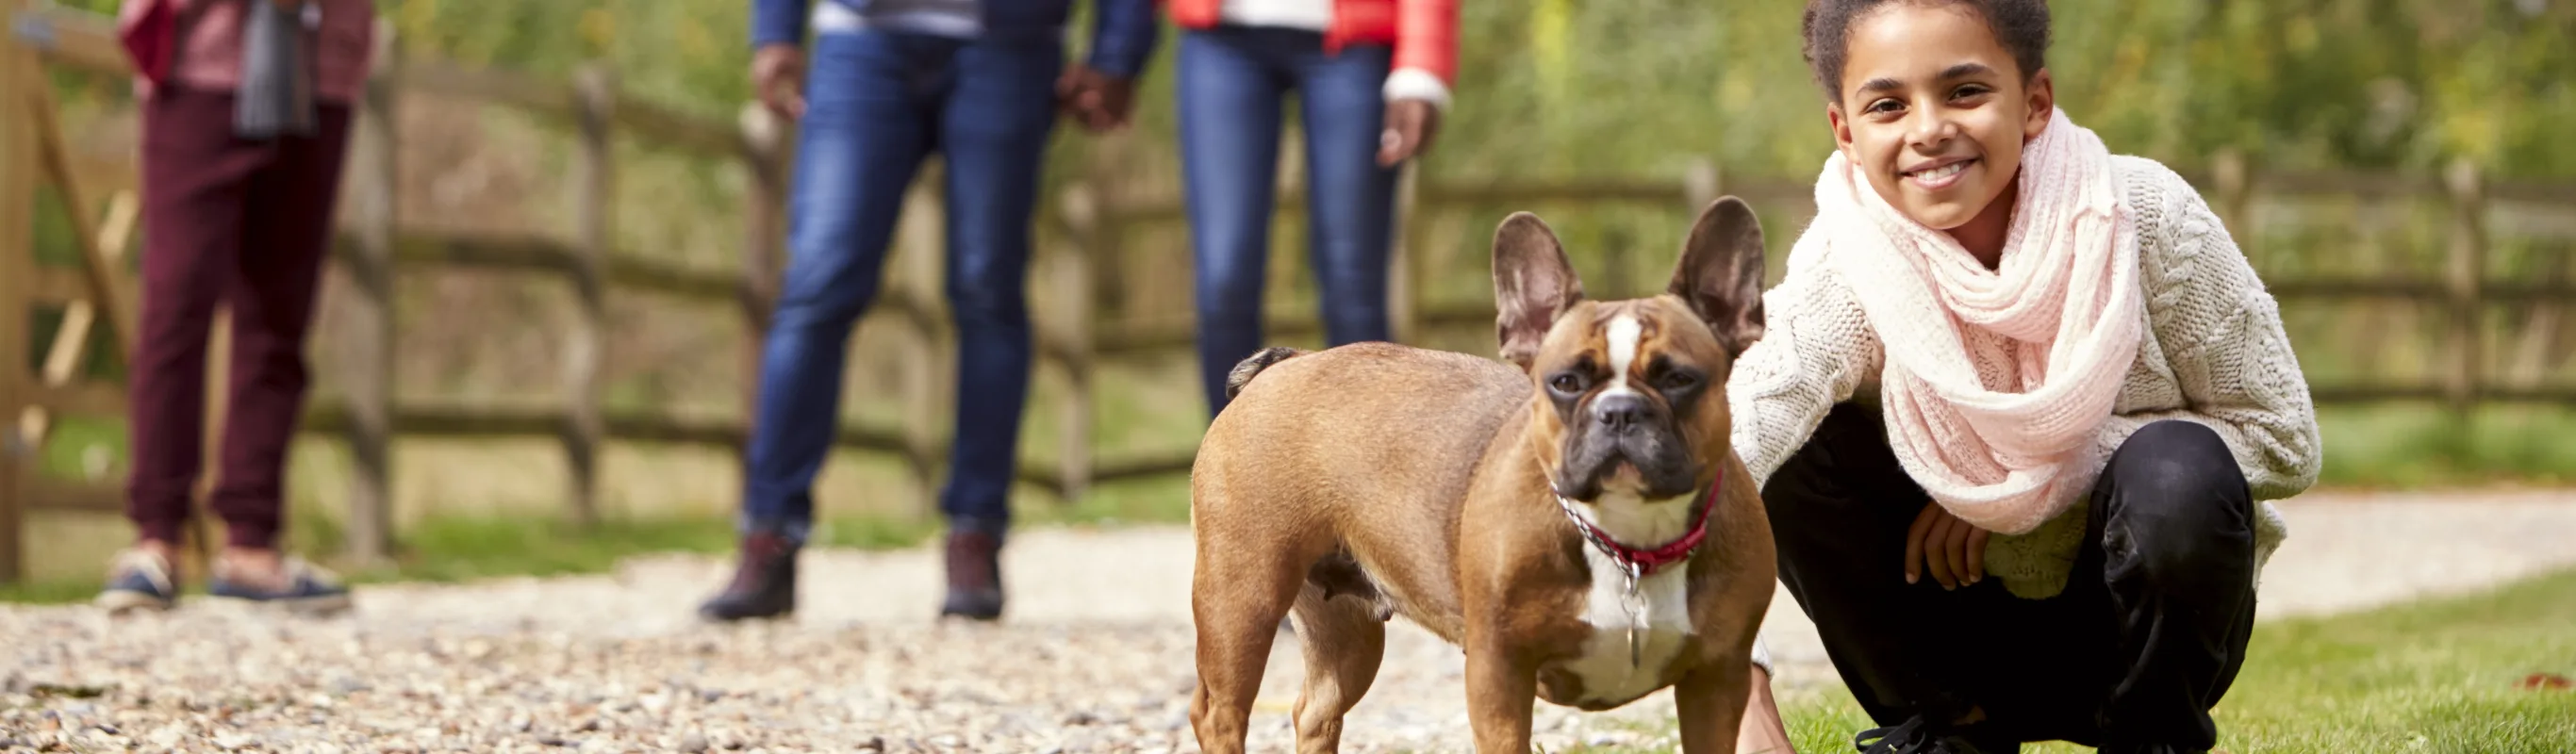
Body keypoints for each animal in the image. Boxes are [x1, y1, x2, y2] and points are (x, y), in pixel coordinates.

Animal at [1195, 196, 1782, 746]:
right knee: (1219, 713)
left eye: (1679, 379)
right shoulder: (1498, 675)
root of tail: (1292, 362)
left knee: (1317, 712)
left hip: (1343, 630)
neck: (1628, 543)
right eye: (1565, 382)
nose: (1619, 411)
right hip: (1240, 597)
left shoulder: (1717, 679)